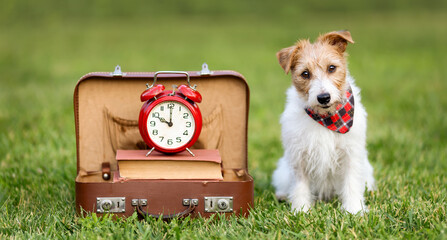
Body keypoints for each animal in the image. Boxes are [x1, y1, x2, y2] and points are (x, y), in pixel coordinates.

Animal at [272, 30, 374, 214]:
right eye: (305, 73)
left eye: (331, 68)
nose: (324, 97)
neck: (327, 118)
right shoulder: (299, 156)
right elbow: (299, 186)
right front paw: (301, 211)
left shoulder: (351, 154)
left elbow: (351, 183)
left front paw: (354, 210)